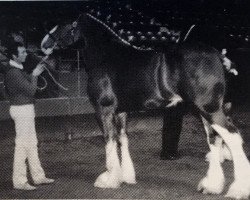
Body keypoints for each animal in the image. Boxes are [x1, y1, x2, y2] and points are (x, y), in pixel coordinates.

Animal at [40, 13, 250, 199]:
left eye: (62, 24)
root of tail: (218, 55)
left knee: (232, 137)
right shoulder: (121, 112)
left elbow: (109, 141)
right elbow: (122, 140)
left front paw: (109, 180)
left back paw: (238, 189)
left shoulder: (104, 110)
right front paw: (125, 176)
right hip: (205, 111)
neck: (107, 56)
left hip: (209, 109)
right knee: (214, 140)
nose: (44, 44)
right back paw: (211, 186)